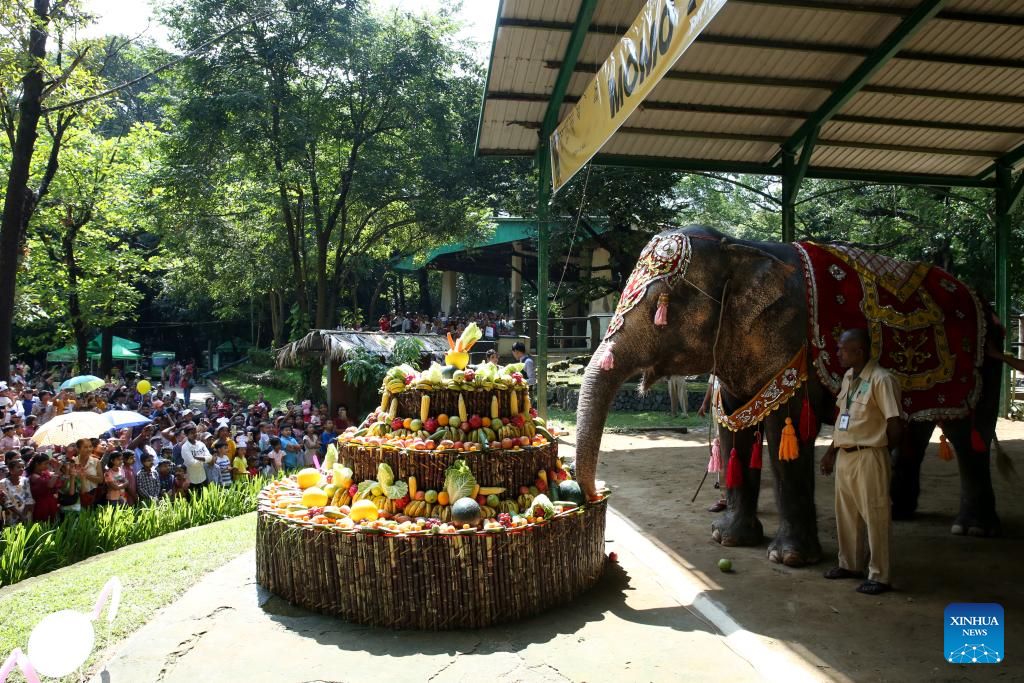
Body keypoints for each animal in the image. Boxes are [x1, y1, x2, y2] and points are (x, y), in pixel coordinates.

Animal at [577, 224, 1007, 565]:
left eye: (662, 304)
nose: (596, 497)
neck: (739, 247)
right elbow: (733, 429)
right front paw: (727, 539)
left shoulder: (793, 341)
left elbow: (787, 431)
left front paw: (790, 559)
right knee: (916, 429)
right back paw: (898, 513)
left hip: (982, 362)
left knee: (968, 435)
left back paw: (972, 529)